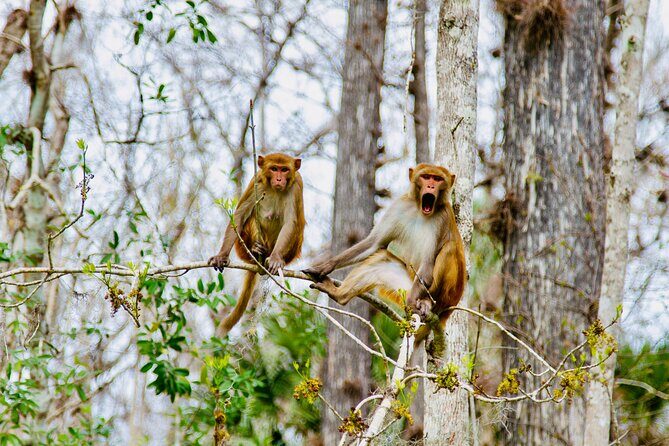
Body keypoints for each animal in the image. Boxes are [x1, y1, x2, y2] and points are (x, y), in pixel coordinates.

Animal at [208, 153, 305, 333]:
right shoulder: (257, 181)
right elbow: (239, 215)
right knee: (252, 215)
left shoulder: (296, 186)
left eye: (284, 169)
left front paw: (276, 259)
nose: (279, 179)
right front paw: (222, 255)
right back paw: (256, 250)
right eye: (274, 168)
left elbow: (290, 223)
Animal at [304, 163, 466, 339]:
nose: (430, 186)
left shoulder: (442, 219)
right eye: (426, 177)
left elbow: (428, 266)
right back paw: (339, 295)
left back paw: (427, 303)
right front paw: (325, 266)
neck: (419, 210)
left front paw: (411, 304)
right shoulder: (399, 206)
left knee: (449, 249)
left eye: (437, 179)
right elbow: (374, 244)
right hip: (407, 286)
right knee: (381, 259)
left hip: (442, 296)